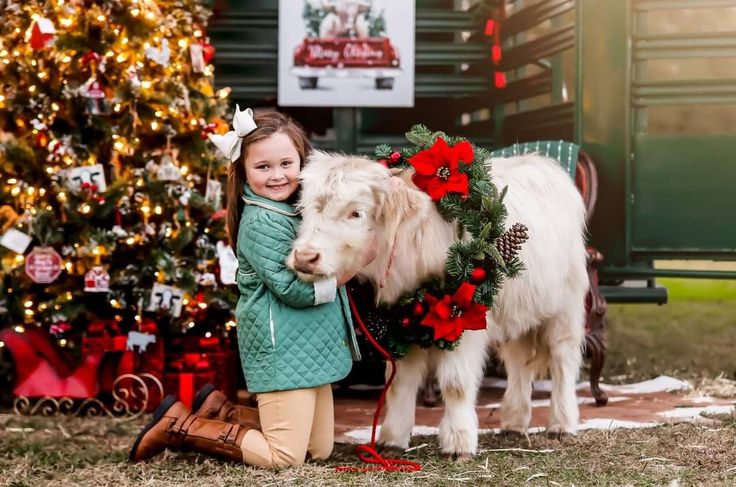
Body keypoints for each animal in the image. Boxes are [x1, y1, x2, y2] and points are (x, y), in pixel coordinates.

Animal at [286, 152, 588, 458]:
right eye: (305, 208)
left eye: (356, 213)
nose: (305, 257)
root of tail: (541, 161)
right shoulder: (400, 324)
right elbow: (398, 383)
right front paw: (392, 440)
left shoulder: (467, 324)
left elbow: (456, 384)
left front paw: (458, 443)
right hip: (520, 312)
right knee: (519, 363)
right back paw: (514, 423)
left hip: (566, 309)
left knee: (563, 361)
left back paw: (561, 424)